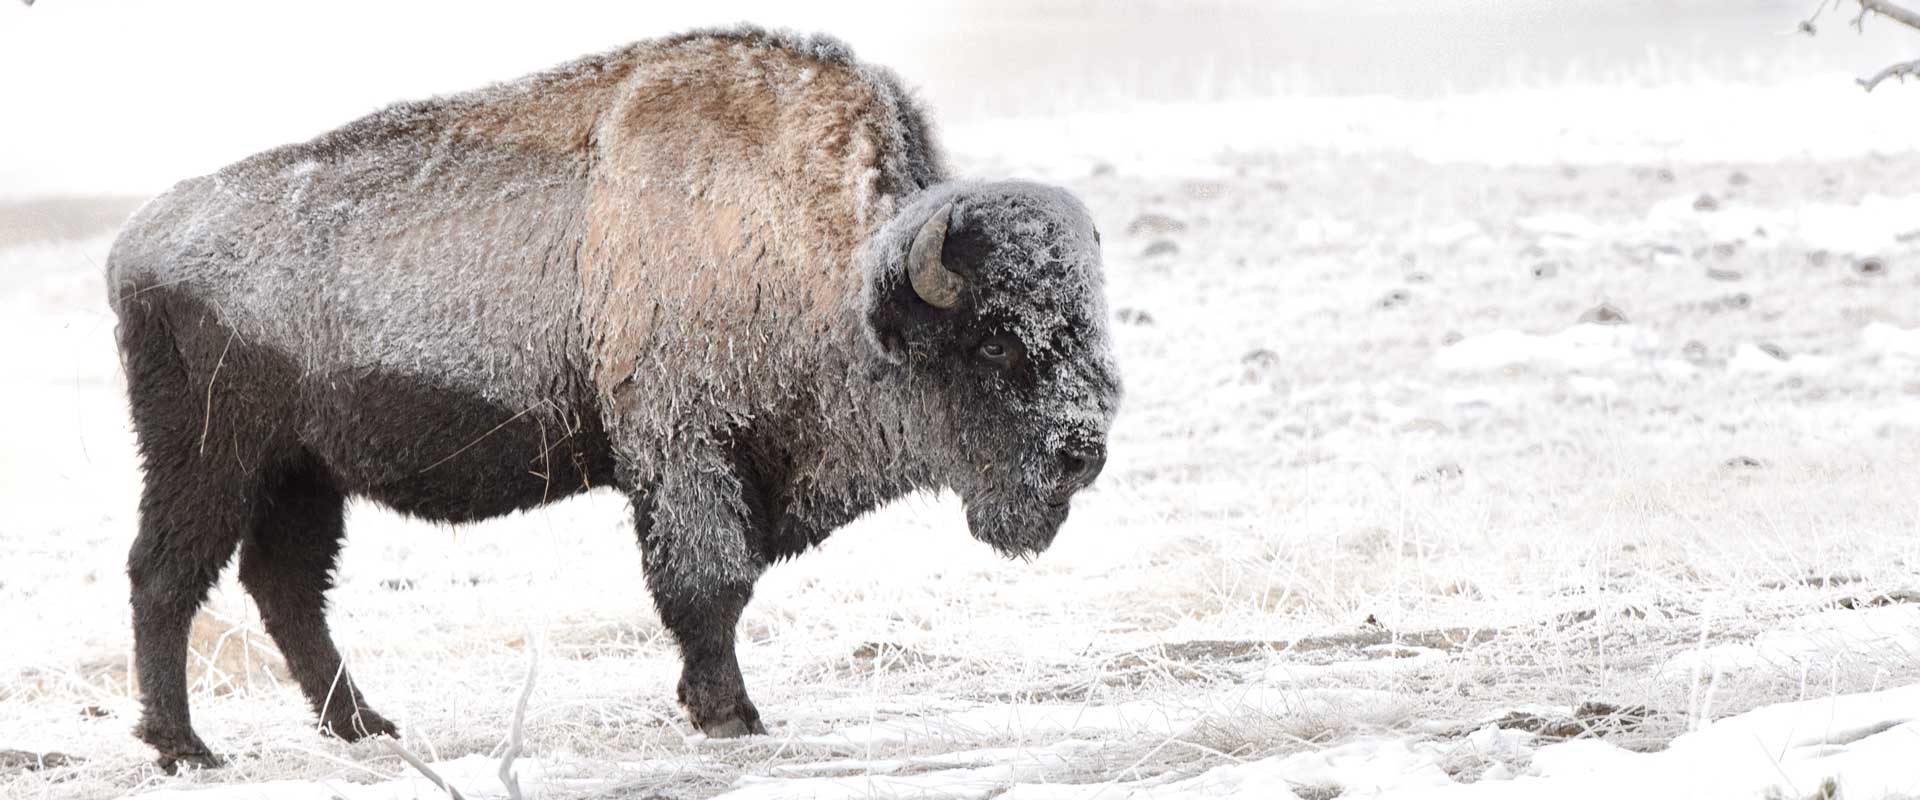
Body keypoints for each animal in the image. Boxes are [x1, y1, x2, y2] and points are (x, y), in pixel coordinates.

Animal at [105, 26, 1121, 767]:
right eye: (996, 339)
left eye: (1088, 322)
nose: (1084, 452)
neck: (829, 265)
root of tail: (134, 243)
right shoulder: (684, 450)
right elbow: (711, 583)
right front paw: (731, 716)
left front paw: (713, 707)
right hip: (210, 461)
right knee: (166, 578)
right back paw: (187, 749)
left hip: (303, 479)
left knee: (286, 591)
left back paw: (363, 728)